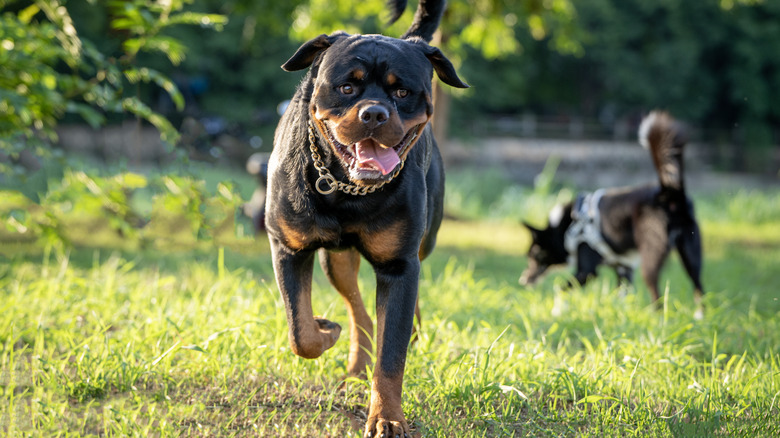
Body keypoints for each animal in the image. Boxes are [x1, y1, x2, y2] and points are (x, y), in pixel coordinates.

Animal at [266, 1, 466, 436]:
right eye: (347, 88)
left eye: (402, 92)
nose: (374, 113)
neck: (348, 191)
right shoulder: (288, 247)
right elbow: (300, 330)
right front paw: (325, 332)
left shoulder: (399, 265)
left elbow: (391, 357)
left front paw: (387, 417)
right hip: (336, 259)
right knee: (359, 313)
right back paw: (355, 364)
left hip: (422, 243)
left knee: (390, 313)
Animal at [520, 111, 704, 318]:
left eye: (534, 254)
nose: (523, 280)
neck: (567, 225)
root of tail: (668, 193)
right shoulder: (624, 269)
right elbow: (621, 297)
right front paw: (621, 317)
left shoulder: (587, 271)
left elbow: (560, 288)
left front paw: (557, 310)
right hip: (691, 253)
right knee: (699, 287)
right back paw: (700, 316)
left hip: (651, 258)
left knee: (656, 293)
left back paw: (656, 318)